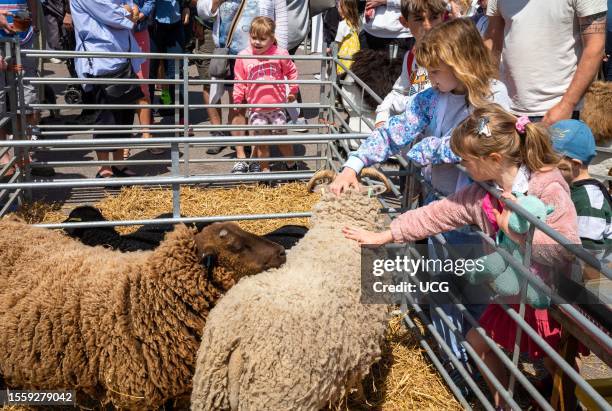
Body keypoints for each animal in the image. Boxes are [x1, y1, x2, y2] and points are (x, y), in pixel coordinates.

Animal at [190, 168, 392, 411]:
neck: (336, 228)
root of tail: (238, 341)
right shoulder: (363, 345)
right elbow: (359, 383)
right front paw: (362, 400)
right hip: (276, 397)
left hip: (209, 390)